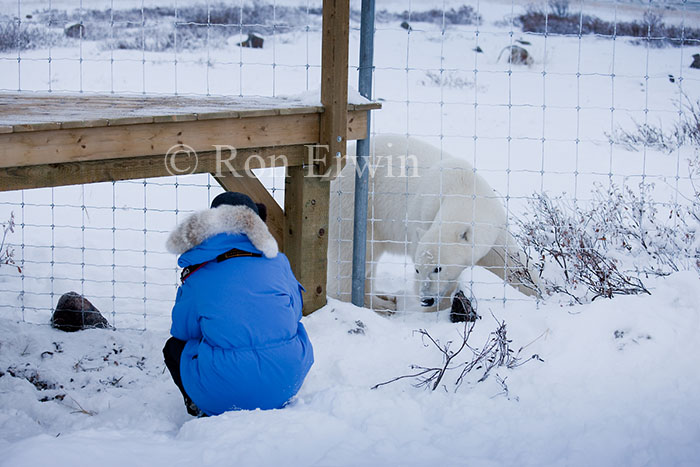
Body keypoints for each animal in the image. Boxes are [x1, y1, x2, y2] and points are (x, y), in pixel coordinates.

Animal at [326, 135, 540, 310]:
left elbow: (510, 261)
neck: (463, 189)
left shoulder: (495, 226)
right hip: (350, 207)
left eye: (438, 268)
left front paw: (537, 291)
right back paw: (378, 305)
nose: (425, 299)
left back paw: (382, 299)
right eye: (417, 268)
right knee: (350, 255)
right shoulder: (423, 217)